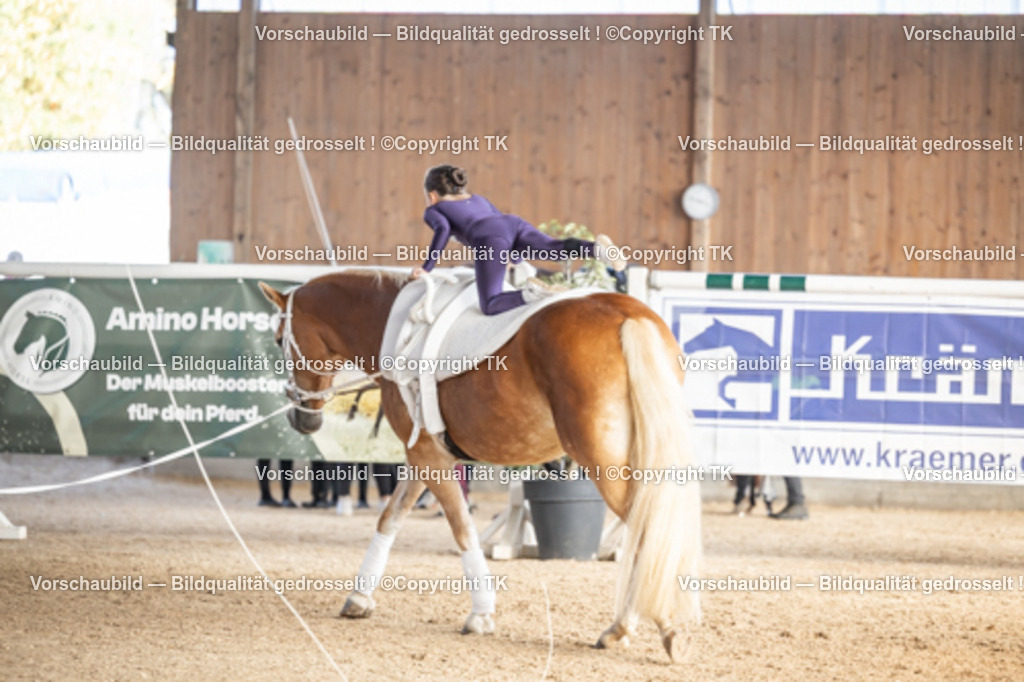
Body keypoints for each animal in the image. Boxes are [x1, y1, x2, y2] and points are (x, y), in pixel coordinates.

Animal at [258, 270, 702, 660]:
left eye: (280, 339)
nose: (301, 419)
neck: (394, 325)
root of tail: (627, 316)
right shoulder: (424, 456)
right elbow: (391, 517)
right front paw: (360, 596)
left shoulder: (430, 458)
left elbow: (461, 527)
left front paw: (481, 614)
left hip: (602, 459)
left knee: (648, 527)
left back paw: (647, 627)